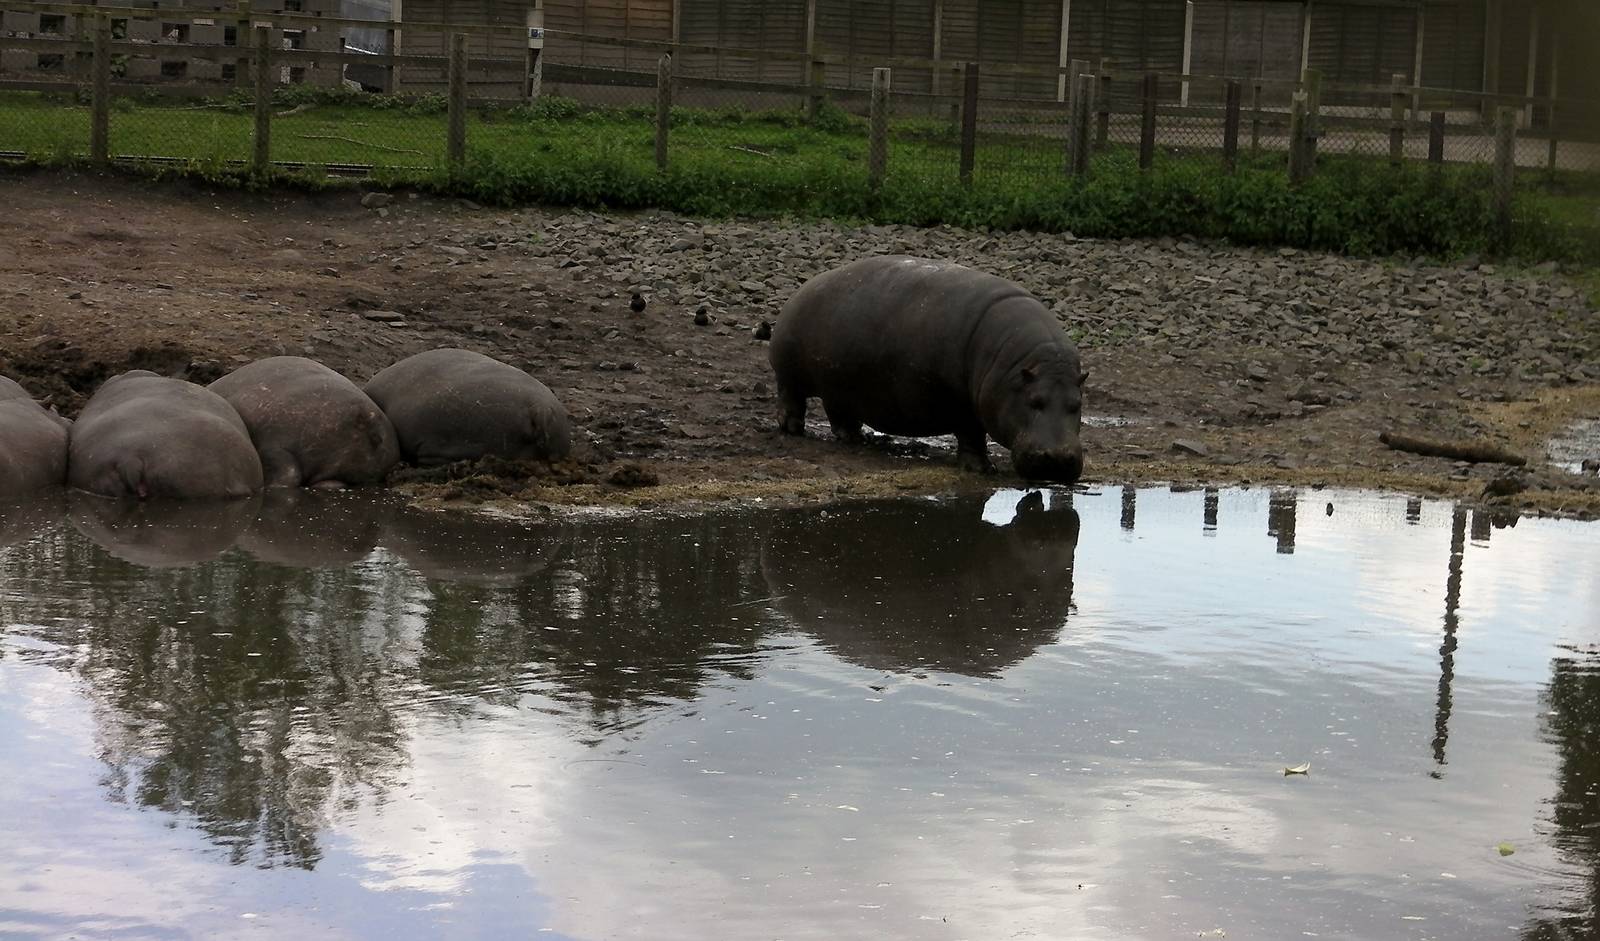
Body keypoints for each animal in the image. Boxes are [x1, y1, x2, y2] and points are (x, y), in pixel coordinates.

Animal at [770, 255, 1087, 482]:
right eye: (1034, 401)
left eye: (1077, 405)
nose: (1058, 460)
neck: (1017, 367)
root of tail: (804, 287)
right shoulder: (962, 403)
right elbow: (972, 434)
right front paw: (982, 469)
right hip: (791, 372)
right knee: (790, 397)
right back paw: (794, 429)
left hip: (838, 382)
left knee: (838, 412)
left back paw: (853, 437)